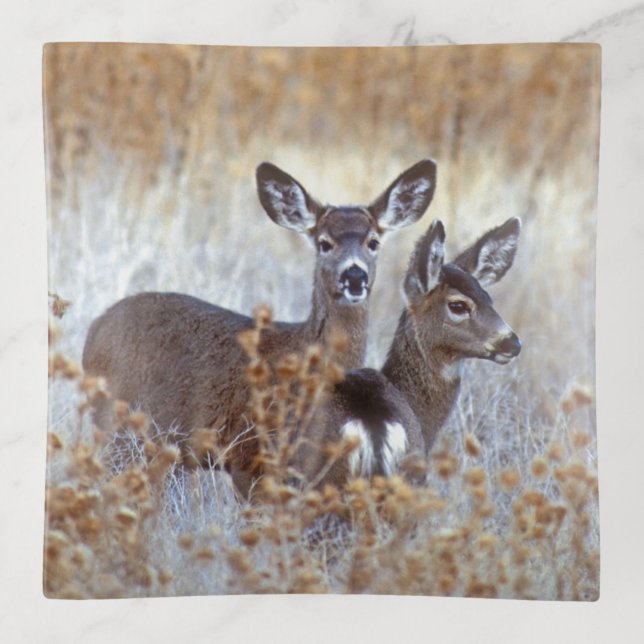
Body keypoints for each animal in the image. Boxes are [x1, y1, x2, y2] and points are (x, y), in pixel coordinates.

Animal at [82, 159, 437, 498]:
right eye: (324, 243)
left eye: (373, 242)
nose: (354, 276)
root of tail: (95, 328)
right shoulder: (248, 456)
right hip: (115, 426)